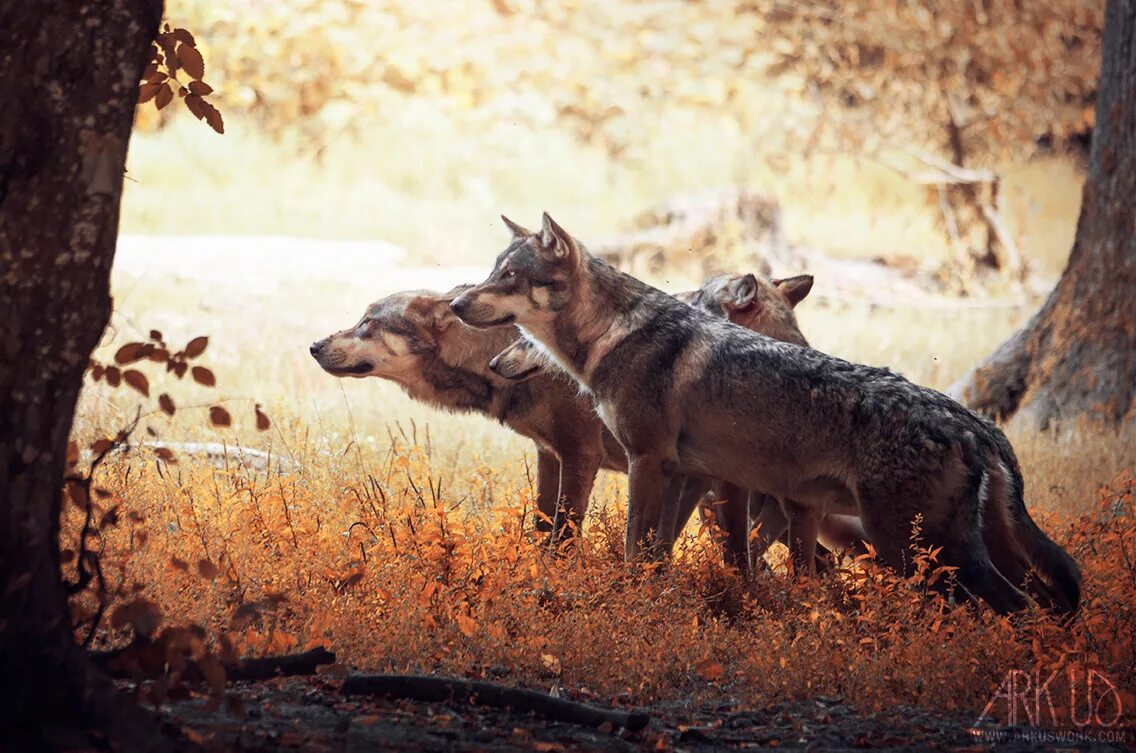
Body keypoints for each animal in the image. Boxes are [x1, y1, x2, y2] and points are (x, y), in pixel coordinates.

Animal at [449, 210, 1081, 613]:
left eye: (509, 277)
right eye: (492, 272)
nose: (455, 305)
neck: (613, 337)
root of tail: (976, 426)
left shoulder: (648, 464)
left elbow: (635, 548)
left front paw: (626, 604)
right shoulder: (691, 477)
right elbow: (668, 554)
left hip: (913, 548)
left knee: (1018, 604)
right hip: (935, 549)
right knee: (1046, 597)